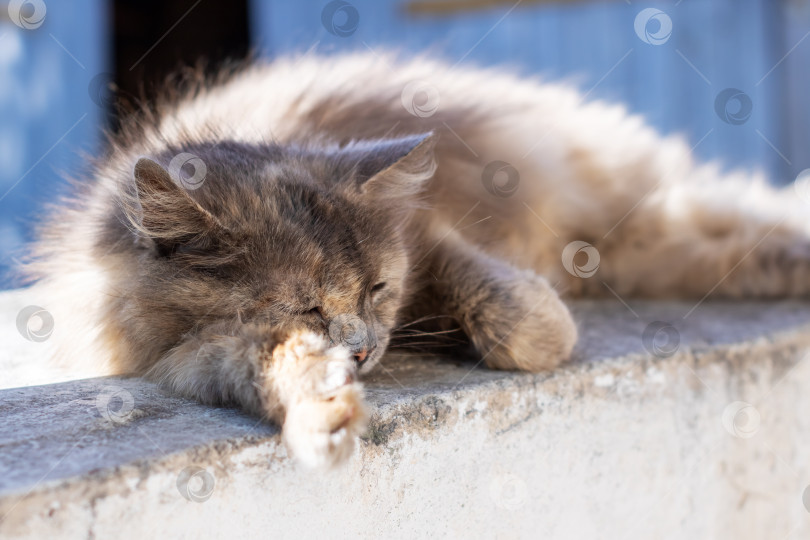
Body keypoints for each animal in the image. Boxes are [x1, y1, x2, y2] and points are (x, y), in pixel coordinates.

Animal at [19, 51, 808, 468]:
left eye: (376, 289)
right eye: (305, 305)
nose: (365, 349)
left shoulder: (429, 234)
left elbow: (518, 318)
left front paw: (525, 327)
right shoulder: (184, 357)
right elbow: (264, 361)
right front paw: (322, 410)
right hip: (656, 250)